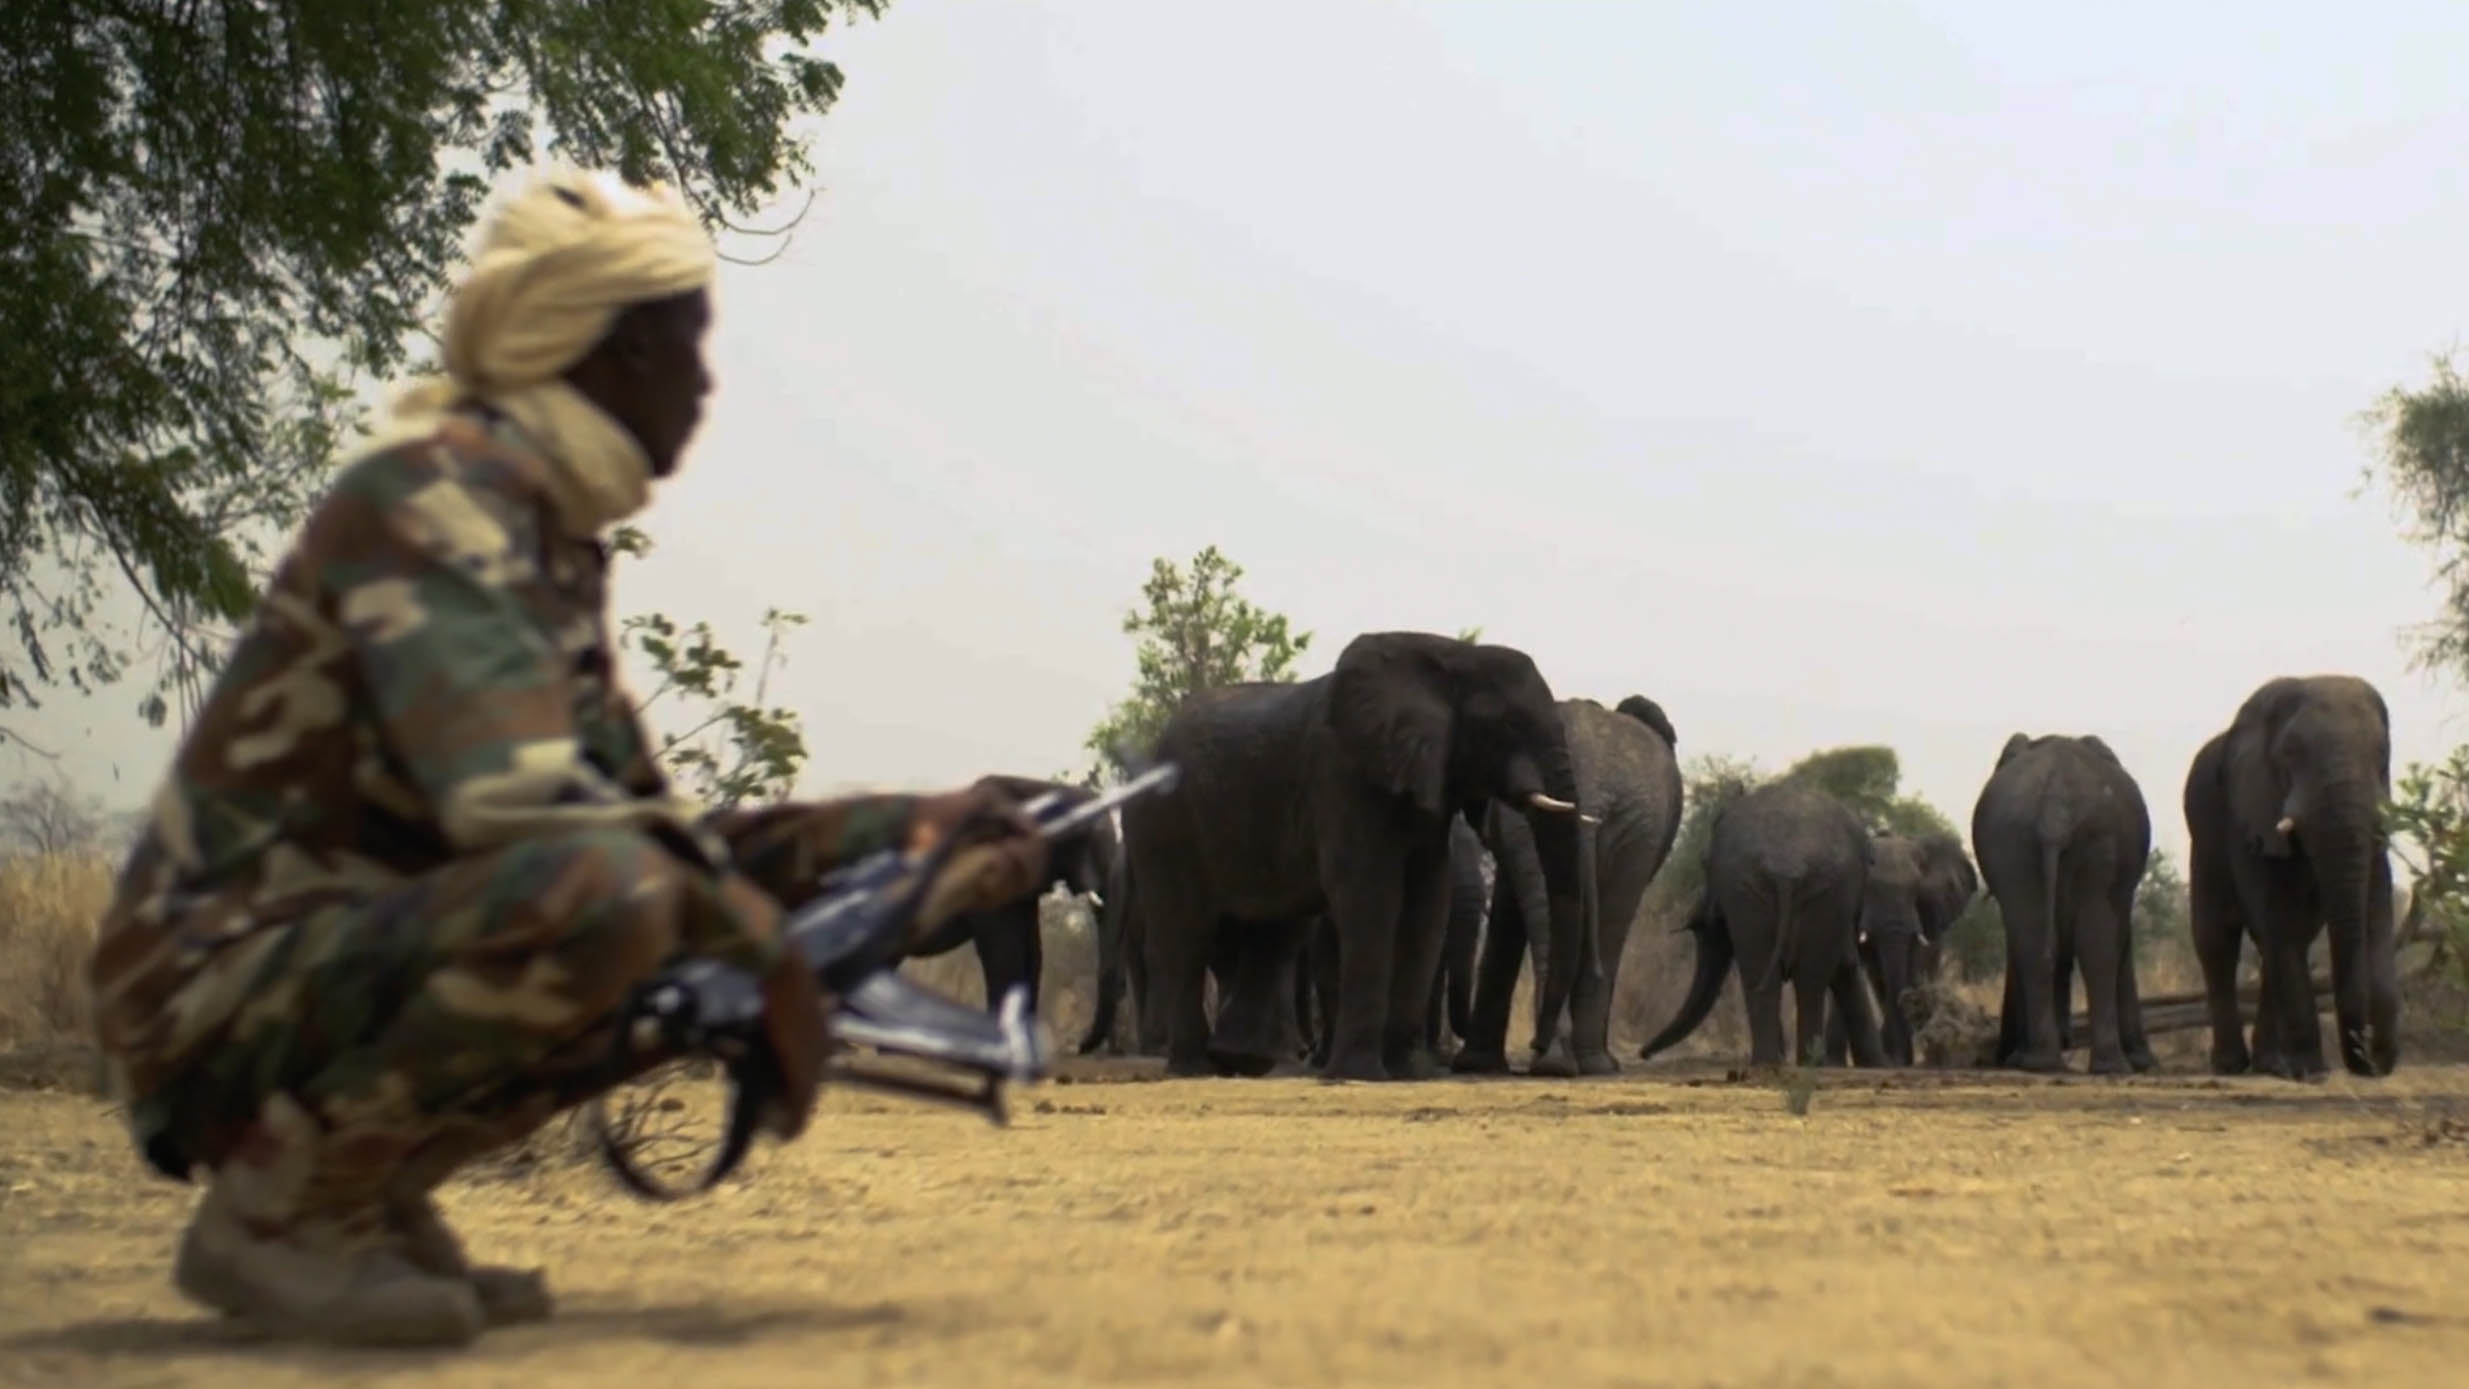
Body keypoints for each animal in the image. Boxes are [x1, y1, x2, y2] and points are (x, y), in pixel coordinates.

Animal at [1120, 631, 1594, 1081]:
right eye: (1511, 724)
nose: (1537, 1046)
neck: (1450, 655)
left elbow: (1427, 901)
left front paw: (1408, 1073)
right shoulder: (1341, 775)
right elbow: (1371, 894)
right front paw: (1360, 1074)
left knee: (1272, 934)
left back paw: (1242, 1061)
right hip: (1162, 824)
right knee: (1186, 934)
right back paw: (1194, 1066)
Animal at [1454, 694, 1684, 1077]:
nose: (1534, 1044)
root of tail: (1587, 771)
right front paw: (1476, 1064)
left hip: (1633, 824)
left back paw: (1571, 1064)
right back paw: (1581, 1064)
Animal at [1639, 778, 1888, 1069]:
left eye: (1703, 862)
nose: (1644, 1054)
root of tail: (1787, 868)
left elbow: (1844, 966)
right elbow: (1843, 967)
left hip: (1813, 891)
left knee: (1798, 979)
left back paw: (1788, 1063)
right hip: (1769, 889)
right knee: (1795, 978)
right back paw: (1783, 1063)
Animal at [1972, 733, 2157, 1075]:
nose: (1996, 1056)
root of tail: (2054, 807)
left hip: (2020, 841)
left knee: (2041, 942)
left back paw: (2050, 1063)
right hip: (2070, 840)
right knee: (2092, 945)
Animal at [2183, 675, 2400, 1080]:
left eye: (2382, 755)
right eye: (2289, 755)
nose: (2374, 1061)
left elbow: (2377, 906)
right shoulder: (2251, 811)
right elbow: (2277, 916)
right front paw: (2312, 1072)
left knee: (2285, 941)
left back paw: (2271, 1065)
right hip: (2202, 833)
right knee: (2218, 937)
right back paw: (2232, 1066)